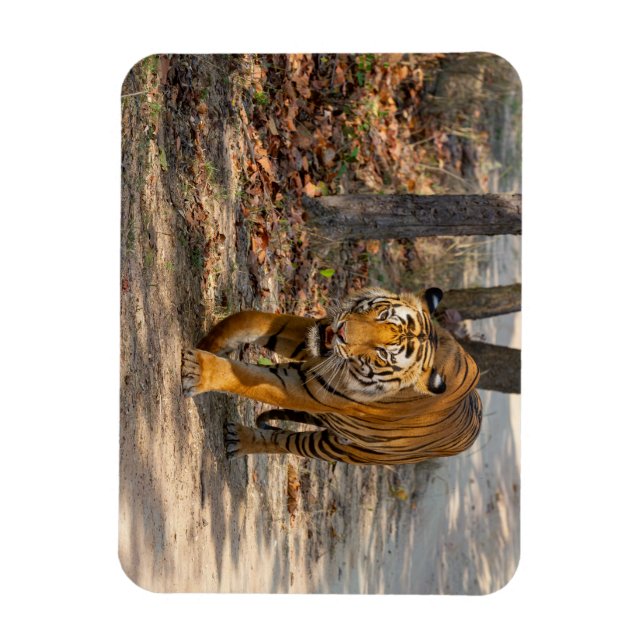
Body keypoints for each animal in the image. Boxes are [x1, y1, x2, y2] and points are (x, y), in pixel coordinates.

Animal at [181, 286, 482, 465]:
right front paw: (210, 343)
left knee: (285, 442)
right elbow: (248, 319)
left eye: (383, 354)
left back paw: (239, 440)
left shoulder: (303, 388)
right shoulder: (313, 334)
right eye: (383, 314)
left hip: (337, 448)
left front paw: (197, 369)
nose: (341, 331)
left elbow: (245, 378)